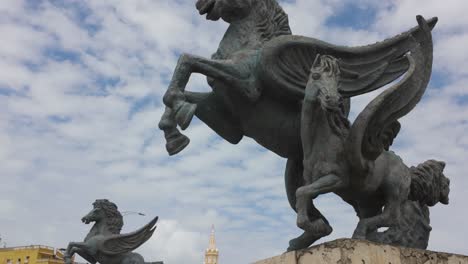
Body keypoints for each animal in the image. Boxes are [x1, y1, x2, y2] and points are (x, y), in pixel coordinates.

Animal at [160, 0, 438, 250]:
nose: (199, 4)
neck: (251, 44)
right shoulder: (226, 120)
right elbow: (185, 89)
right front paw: (174, 132)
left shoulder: (247, 84)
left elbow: (187, 60)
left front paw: (177, 116)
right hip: (312, 182)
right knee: (327, 220)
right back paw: (308, 240)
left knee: (397, 213)